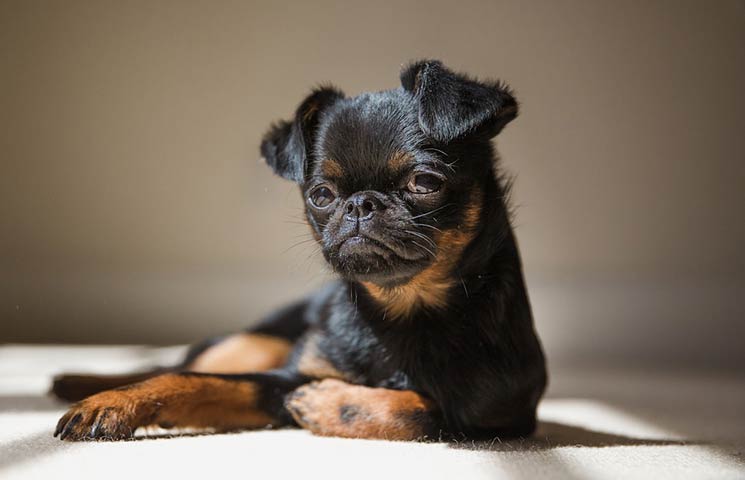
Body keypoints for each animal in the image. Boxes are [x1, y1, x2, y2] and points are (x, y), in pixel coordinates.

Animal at [49, 61, 544, 442]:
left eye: (425, 183)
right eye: (321, 195)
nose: (360, 204)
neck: (400, 311)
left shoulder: (500, 416)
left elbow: (422, 408)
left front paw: (329, 402)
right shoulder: (278, 379)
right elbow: (190, 382)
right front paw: (112, 404)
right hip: (253, 344)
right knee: (177, 361)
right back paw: (78, 382)